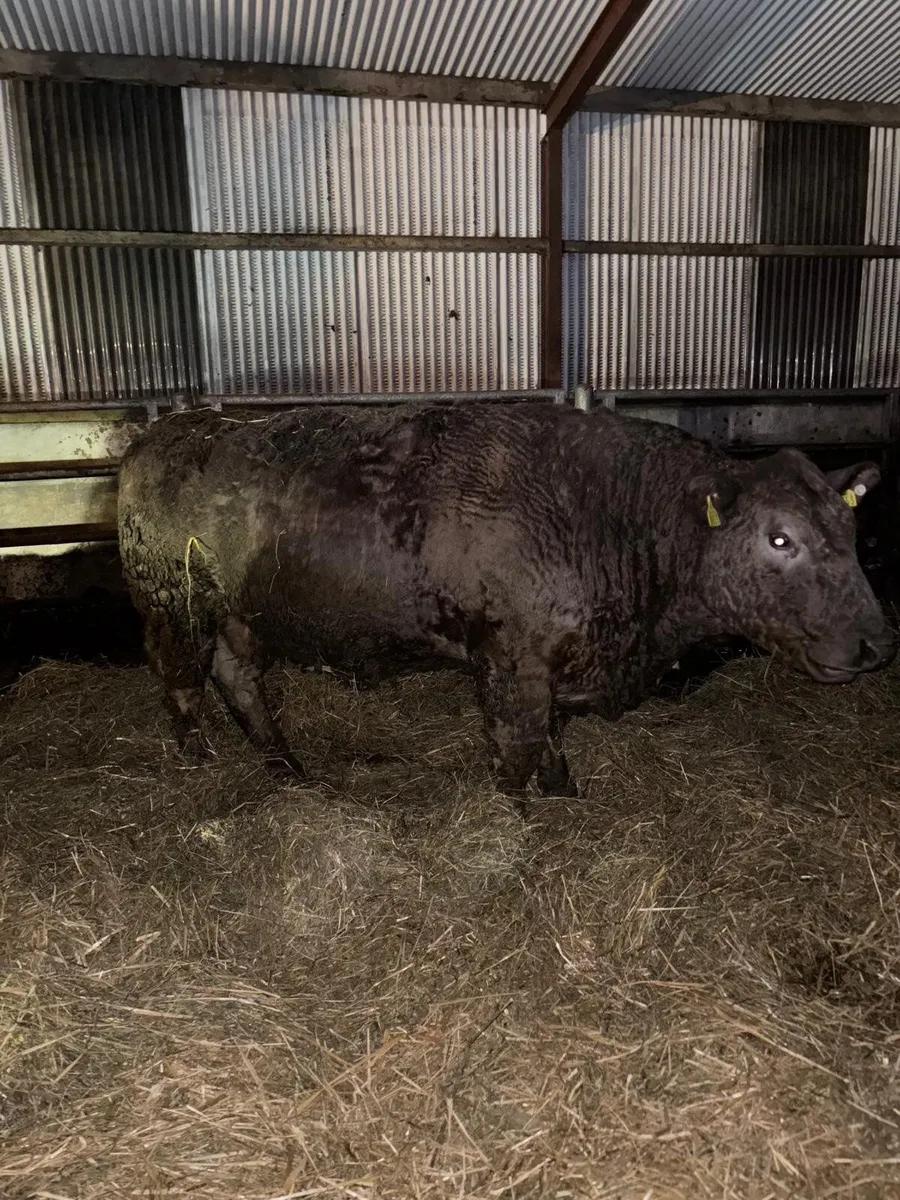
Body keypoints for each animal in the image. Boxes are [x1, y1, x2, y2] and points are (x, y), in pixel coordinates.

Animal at [117, 402, 895, 804]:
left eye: (852, 530)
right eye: (780, 537)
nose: (876, 644)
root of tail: (169, 430)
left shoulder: (552, 666)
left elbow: (550, 739)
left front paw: (564, 793)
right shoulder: (513, 662)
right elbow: (517, 745)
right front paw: (522, 817)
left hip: (236, 614)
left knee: (238, 677)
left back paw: (283, 763)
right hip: (173, 604)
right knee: (183, 683)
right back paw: (199, 761)